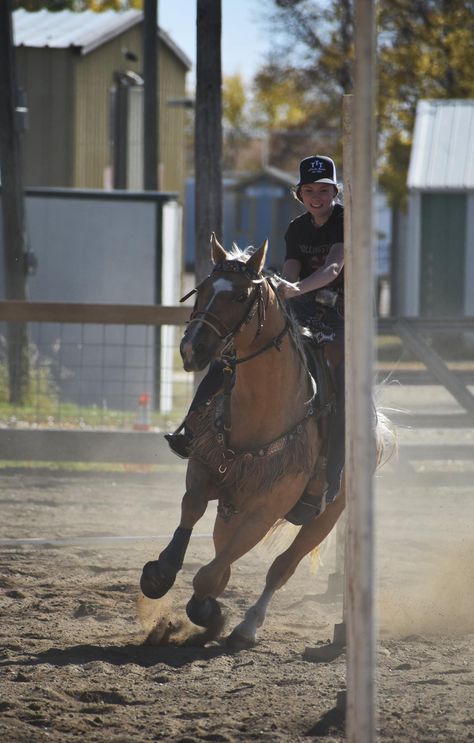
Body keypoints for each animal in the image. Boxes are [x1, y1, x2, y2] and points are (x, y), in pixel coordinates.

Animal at [141, 235, 382, 648]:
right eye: (202, 289)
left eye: (240, 296)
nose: (191, 349)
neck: (262, 406)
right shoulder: (206, 466)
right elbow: (192, 510)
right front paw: (160, 573)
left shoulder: (265, 510)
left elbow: (211, 574)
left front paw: (208, 612)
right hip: (231, 509)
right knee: (226, 552)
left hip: (327, 515)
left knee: (281, 567)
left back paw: (247, 625)